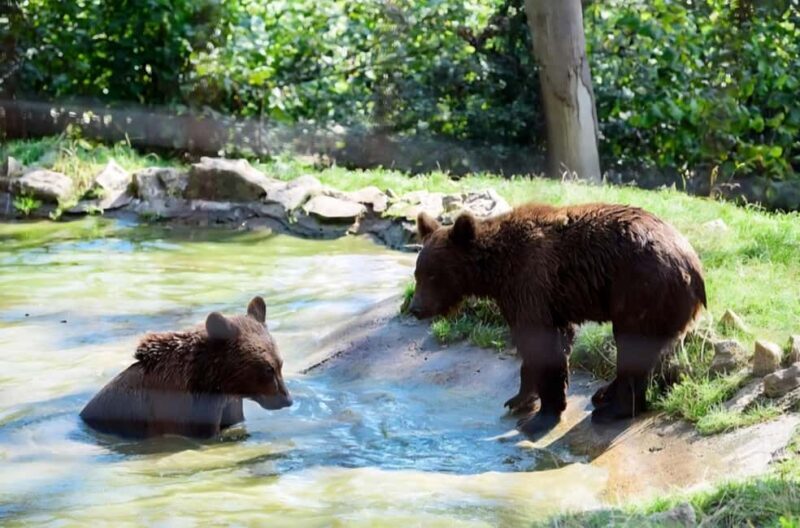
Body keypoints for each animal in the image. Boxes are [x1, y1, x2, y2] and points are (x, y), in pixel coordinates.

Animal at [408, 202, 706, 436]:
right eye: (418, 273)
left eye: (433, 275)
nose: (415, 308)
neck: (496, 271)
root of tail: (694, 267)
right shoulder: (539, 299)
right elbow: (546, 344)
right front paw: (519, 399)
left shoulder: (531, 282)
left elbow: (543, 343)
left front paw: (540, 417)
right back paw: (604, 395)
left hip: (639, 288)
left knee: (631, 346)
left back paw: (613, 409)